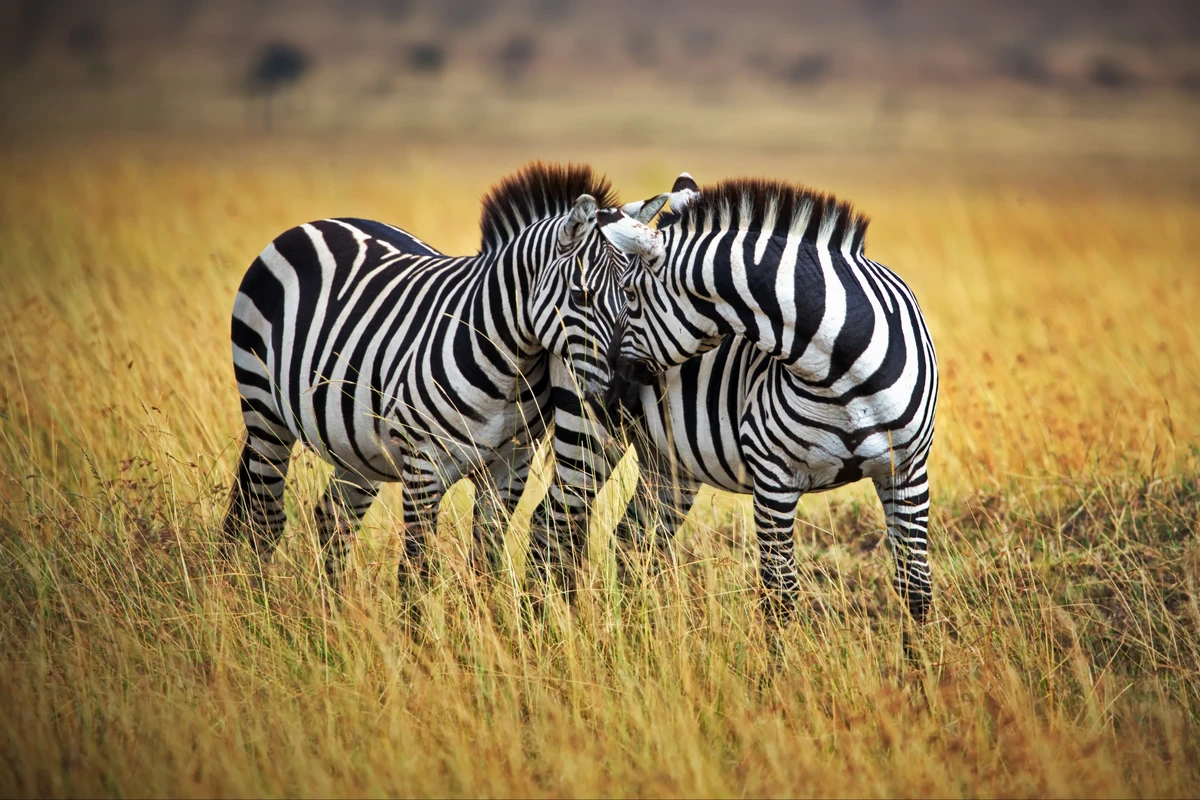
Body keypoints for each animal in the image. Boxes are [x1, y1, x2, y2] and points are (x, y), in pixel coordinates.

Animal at [222, 162, 633, 595]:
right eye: (582, 295)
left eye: (633, 294)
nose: (624, 390)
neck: (509, 367)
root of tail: (318, 223)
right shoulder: (423, 465)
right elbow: (416, 569)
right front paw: (418, 616)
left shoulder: (511, 467)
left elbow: (485, 559)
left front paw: (489, 613)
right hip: (264, 411)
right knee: (264, 516)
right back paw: (260, 601)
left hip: (356, 447)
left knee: (332, 517)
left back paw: (332, 606)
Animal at [603, 175, 939, 622]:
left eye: (629, 293)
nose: (613, 386)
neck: (845, 374)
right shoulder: (774, 477)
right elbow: (780, 594)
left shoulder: (907, 470)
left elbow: (915, 588)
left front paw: (921, 646)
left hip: (668, 468)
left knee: (631, 544)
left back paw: (633, 624)